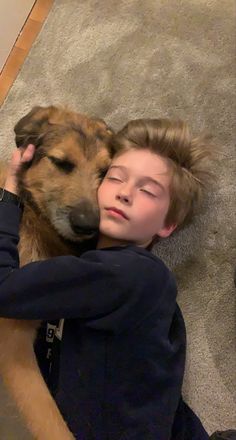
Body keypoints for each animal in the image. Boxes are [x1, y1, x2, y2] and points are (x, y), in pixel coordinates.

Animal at [0, 105, 113, 440]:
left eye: (105, 172)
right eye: (62, 163)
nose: (88, 225)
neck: (30, 212)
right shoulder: (13, 346)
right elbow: (52, 424)